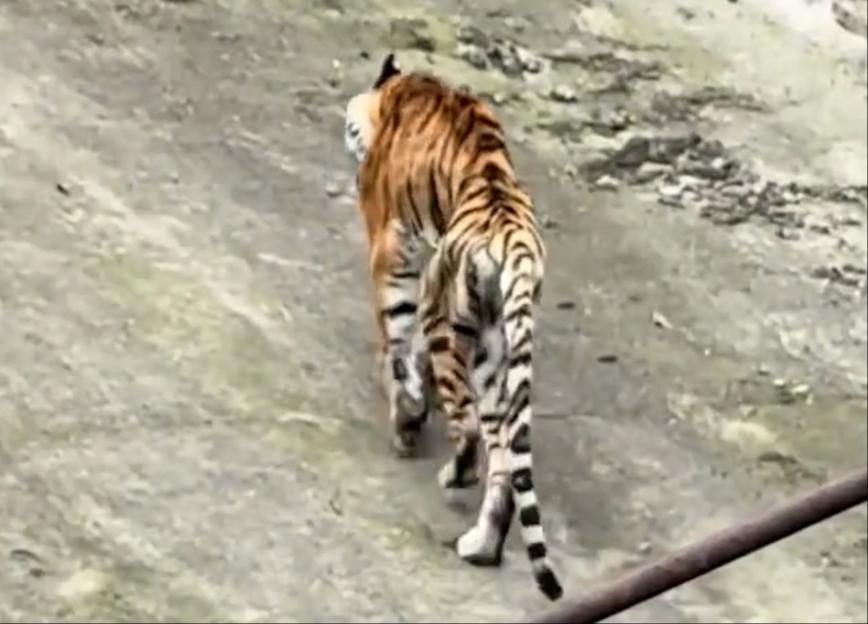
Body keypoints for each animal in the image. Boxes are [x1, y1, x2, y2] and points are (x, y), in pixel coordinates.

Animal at [343, 53, 563, 601]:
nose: (346, 134)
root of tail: (516, 245)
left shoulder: (393, 254)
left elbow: (396, 342)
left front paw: (405, 413)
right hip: (498, 348)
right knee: (503, 457)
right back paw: (481, 545)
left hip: (457, 326)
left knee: (468, 429)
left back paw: (451, 470)